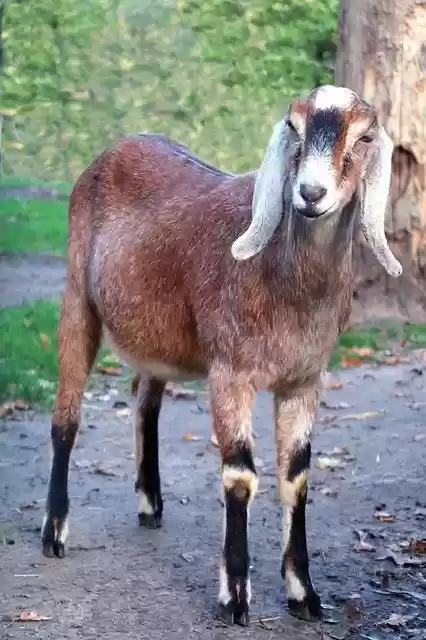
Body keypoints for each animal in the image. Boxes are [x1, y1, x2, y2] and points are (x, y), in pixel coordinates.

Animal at [42, 84, 401, 626]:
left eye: (363, 138)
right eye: (294, 127)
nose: (310, 194)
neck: (283, 278)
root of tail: (118, 147)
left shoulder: (305, 380)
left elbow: (296, 478)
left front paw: (304, 595)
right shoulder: (231, 372)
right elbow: (240, 476)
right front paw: (234, 596)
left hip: (156, 334)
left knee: (144, 398)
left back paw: (149, 503)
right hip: (76, 293)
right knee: (67, 416)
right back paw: (54, 531)